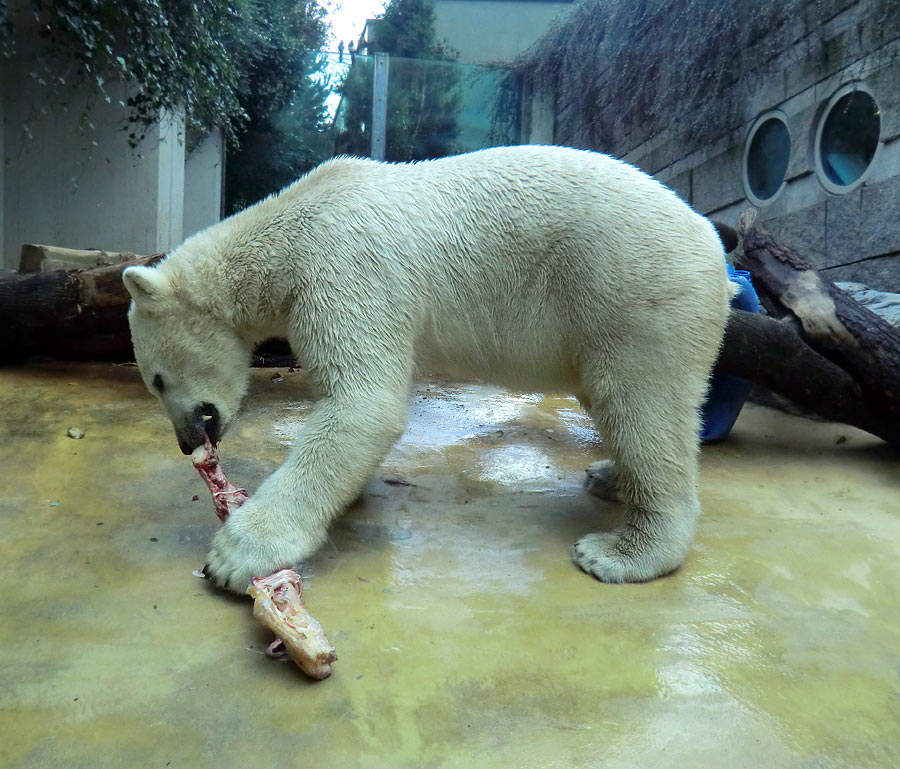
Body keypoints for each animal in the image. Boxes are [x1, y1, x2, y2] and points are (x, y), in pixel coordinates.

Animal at [123, 144, 736, 592]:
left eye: (156, 379)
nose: (186, 442)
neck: (288, 229)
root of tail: (713, 244)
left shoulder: (342, 265)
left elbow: (365, 403)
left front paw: (236, 553)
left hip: (633, 292)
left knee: (642, 407)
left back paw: (621, 550)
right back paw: (608, 476)